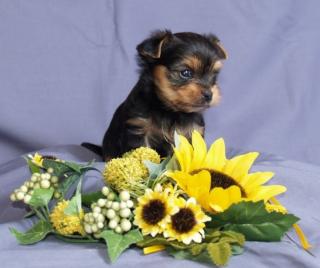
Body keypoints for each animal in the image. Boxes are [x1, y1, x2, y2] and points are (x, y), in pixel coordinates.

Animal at [84, 30, 226, 160]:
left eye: (214, 75)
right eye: (186, 73)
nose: (209, 94)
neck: (169, 110)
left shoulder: (192, 133)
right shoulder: (139, 129)